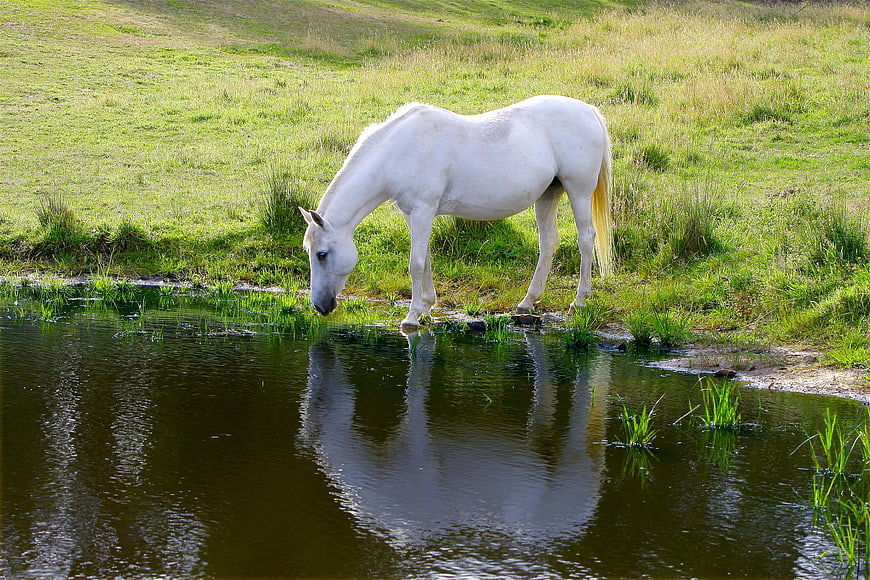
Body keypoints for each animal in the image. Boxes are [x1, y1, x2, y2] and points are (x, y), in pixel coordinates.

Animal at [300, 94, 613, 330]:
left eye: (322, 254)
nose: (320, 306)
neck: (399, 150)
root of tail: (589, 111)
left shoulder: (423, 210)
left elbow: (415, 263)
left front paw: (412, 317)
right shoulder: (413, 213)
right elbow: (425, 259)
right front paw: (426, 307)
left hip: (578, 191)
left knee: (586, 239)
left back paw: (579, 301)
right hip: (548, 195)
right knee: (548, 243)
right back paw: (527, 303)